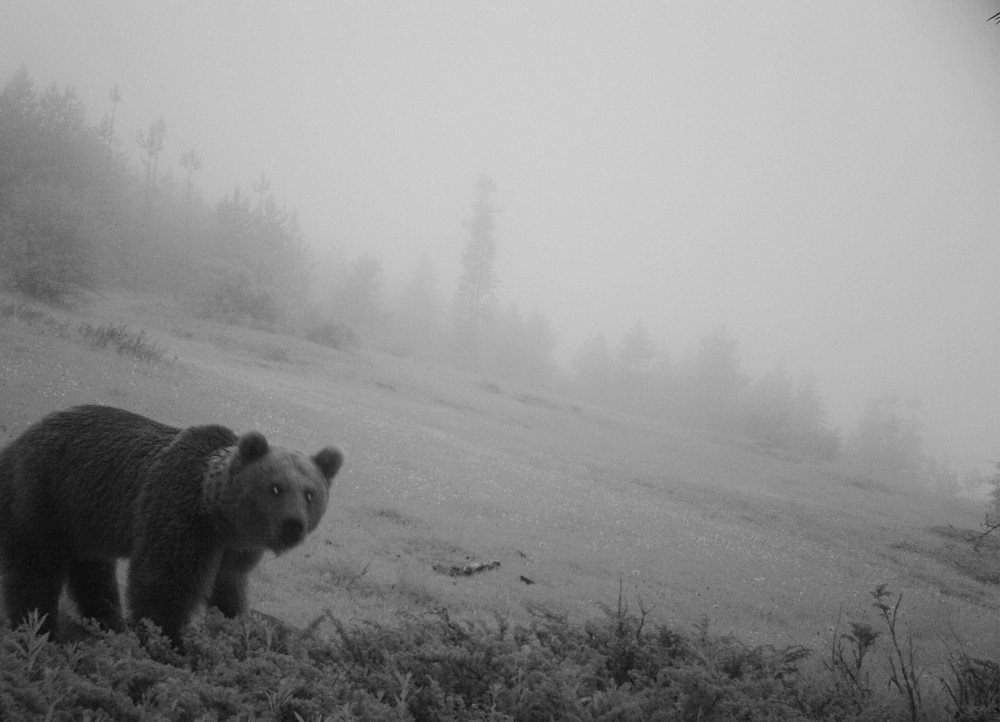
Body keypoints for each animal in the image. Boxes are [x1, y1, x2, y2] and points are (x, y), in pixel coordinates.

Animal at [0, 404, 344, 648]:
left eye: (310, 494)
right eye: (275, 488)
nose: (293, 525)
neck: (221, 518)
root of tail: (15, 444)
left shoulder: (234, 551)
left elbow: (228, 590)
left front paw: (237, 626)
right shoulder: (181, 517)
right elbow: (163, 586)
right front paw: (170, 643)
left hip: (85, 520)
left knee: (92, 573)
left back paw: (109, 623)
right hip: (43, 495)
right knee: (36, 571)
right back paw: (40, 631)